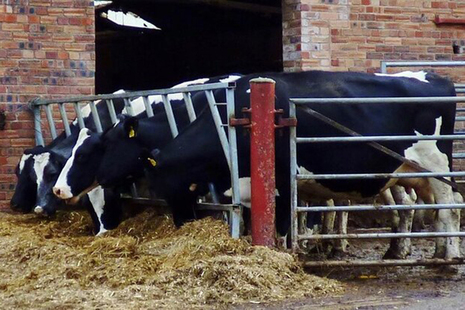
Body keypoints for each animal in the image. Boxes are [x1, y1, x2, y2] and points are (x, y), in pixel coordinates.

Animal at [135, 70, 460, 260]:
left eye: (167, 185)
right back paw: (423, 251)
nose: (182, 224)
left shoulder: (279, 184)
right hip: (412, 174)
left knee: (450, 209)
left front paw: (285, 256)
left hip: (437, 167)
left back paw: (449, 258)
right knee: (432, 208)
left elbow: (280, 228)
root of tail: (436, 77)